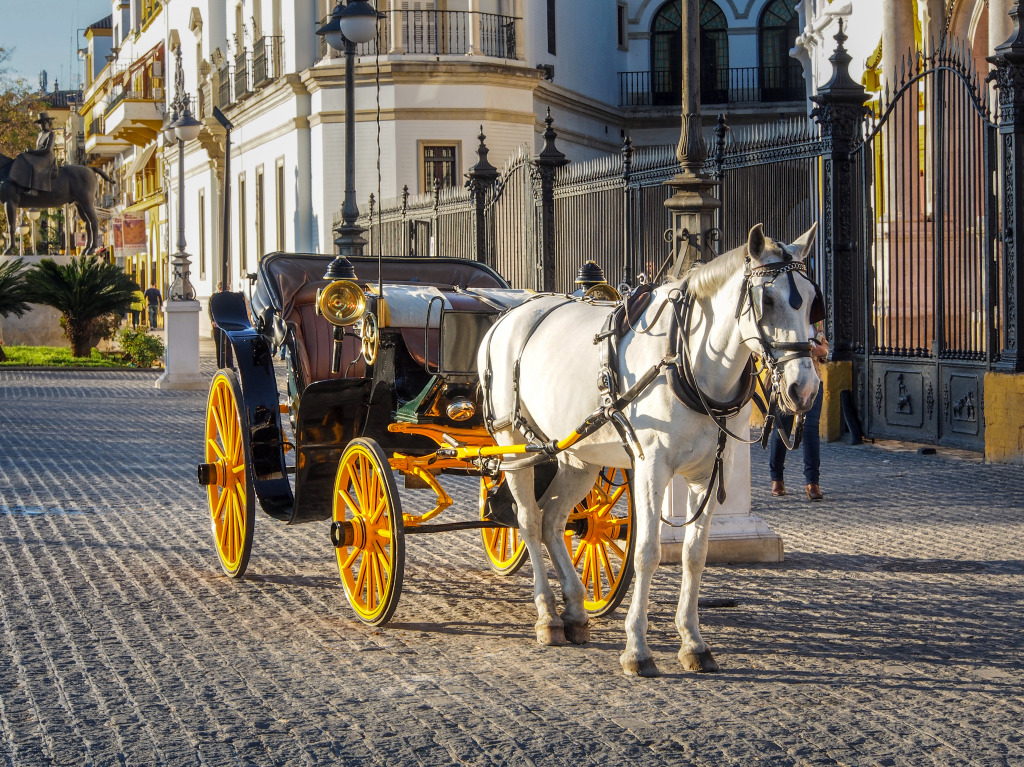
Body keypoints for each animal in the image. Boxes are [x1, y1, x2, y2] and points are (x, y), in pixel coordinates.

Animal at [479, 223, 823, 675]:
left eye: (813, 301)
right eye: (766, 300)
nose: (805, 388)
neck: (686, 359)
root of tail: (507, 317)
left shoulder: (710, 472)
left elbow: (695, 554)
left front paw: (693, 641)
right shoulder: (651, 466)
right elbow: (646, 552)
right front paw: (637, 648)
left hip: (579, 456)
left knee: (553, 519)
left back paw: (575, 610)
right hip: (514, 446)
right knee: (530, 521)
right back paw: (548, 616)